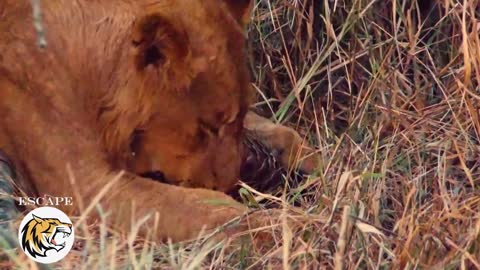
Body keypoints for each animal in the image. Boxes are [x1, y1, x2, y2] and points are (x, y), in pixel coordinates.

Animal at [0, 0, 316, 240]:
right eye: (208, 127)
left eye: (233, 123)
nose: (230, 184)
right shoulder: (86, 187)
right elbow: (206, 209)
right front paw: (292, 228)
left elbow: (278, 132)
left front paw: (311, 165)